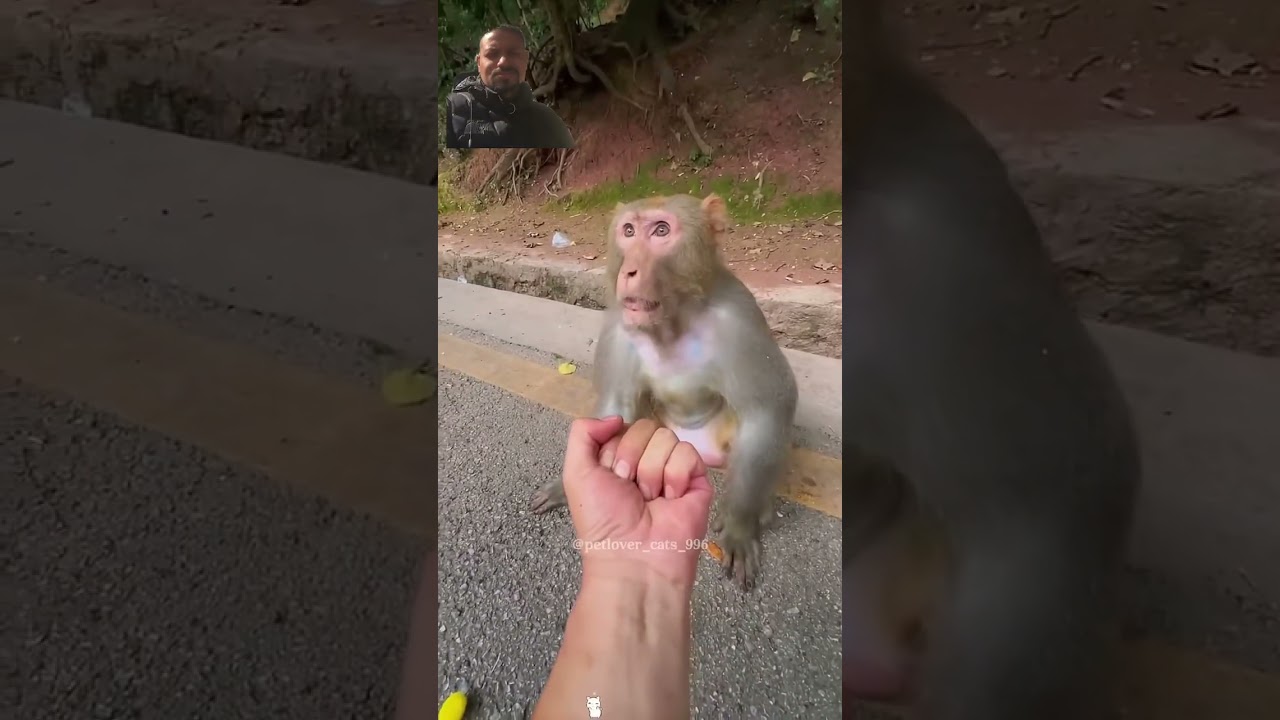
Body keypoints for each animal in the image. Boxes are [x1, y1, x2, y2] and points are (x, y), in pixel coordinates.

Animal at [530, 193, 799, 590]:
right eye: (628, 231)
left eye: (661, 231)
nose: (629, 272)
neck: (671, 321)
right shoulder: (619, 325)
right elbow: (617, 408)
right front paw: (570, 486)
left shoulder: (740, 319)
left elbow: (766, 410)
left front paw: (740, 523)